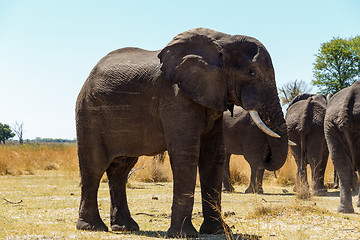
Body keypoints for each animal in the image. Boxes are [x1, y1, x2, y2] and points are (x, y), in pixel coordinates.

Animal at [74, 28, 288, 238]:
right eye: (251, 72)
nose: (267, 155)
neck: (222, 39)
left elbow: (213, 156)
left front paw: (218, 231)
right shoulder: (176, 96)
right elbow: (186, 155)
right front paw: (183, 234)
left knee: (121, 169)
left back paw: (126, 227)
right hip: (89, 113)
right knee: (94, 166)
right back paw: (92, 227)